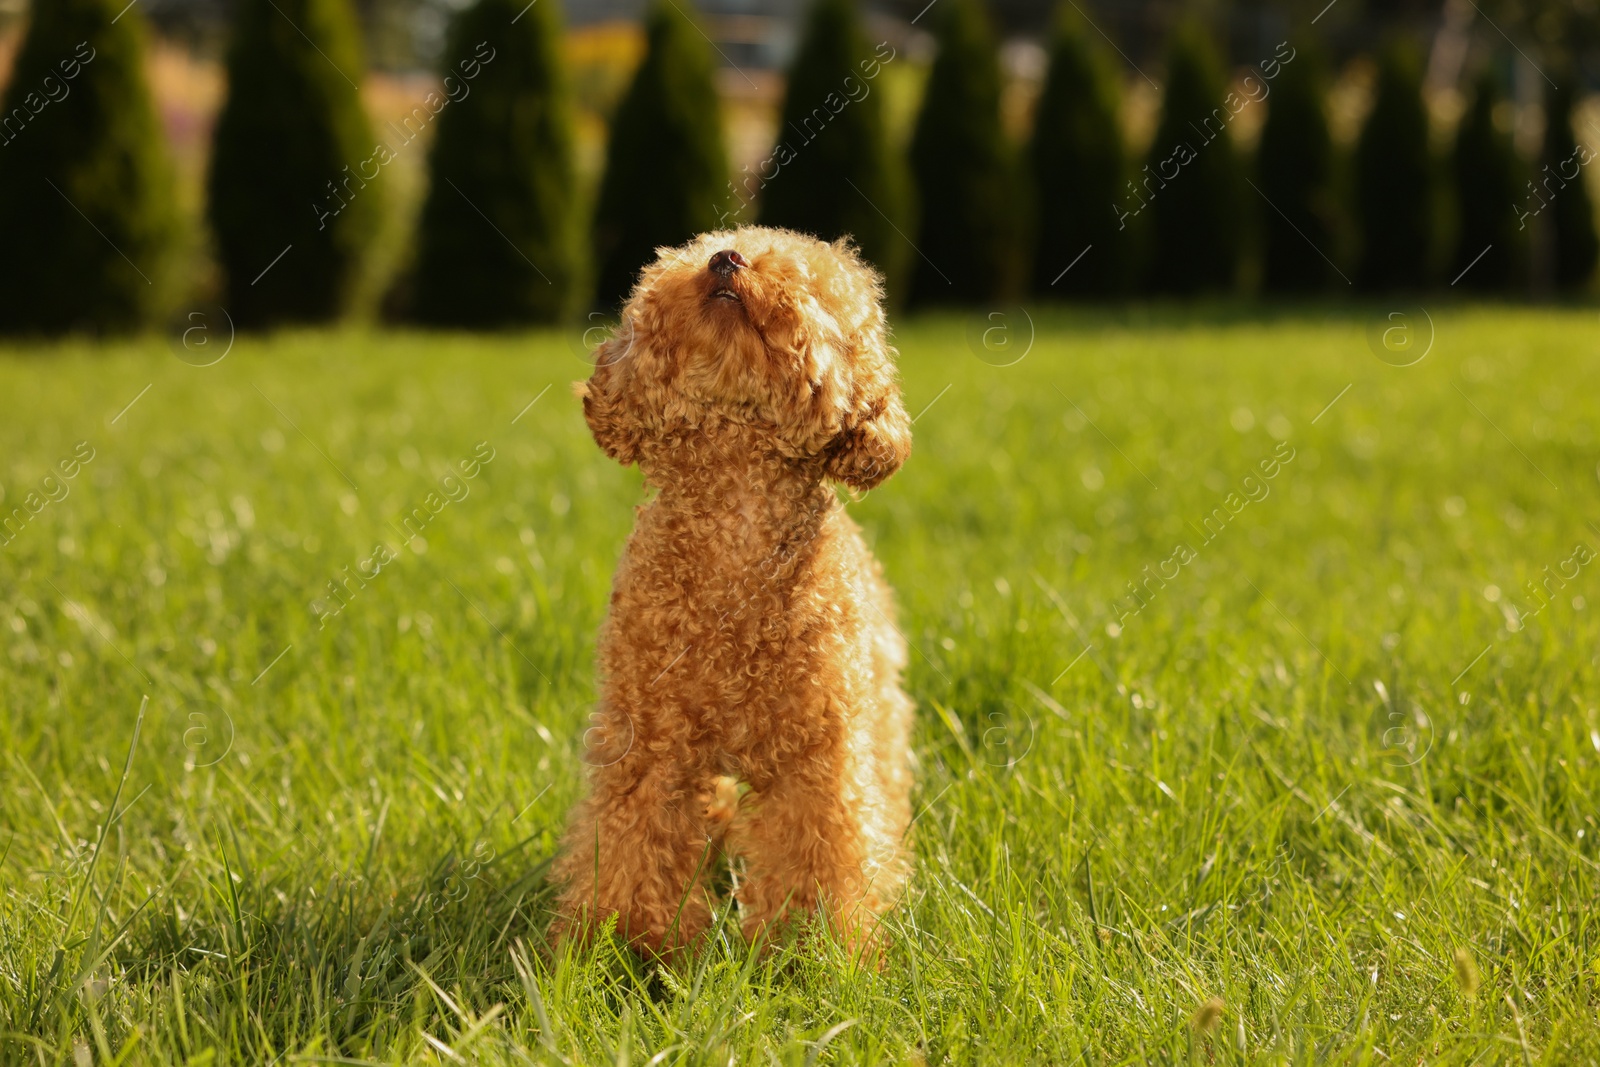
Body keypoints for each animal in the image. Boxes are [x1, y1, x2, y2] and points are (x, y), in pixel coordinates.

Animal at [556, 227, 915, 959]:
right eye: (698, 251)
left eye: (810, 288)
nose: (727, 259)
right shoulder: (650, 742)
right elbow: (632, 840)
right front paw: (626, 946)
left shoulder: (817, 753)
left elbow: (821, 852)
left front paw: (808, 949)